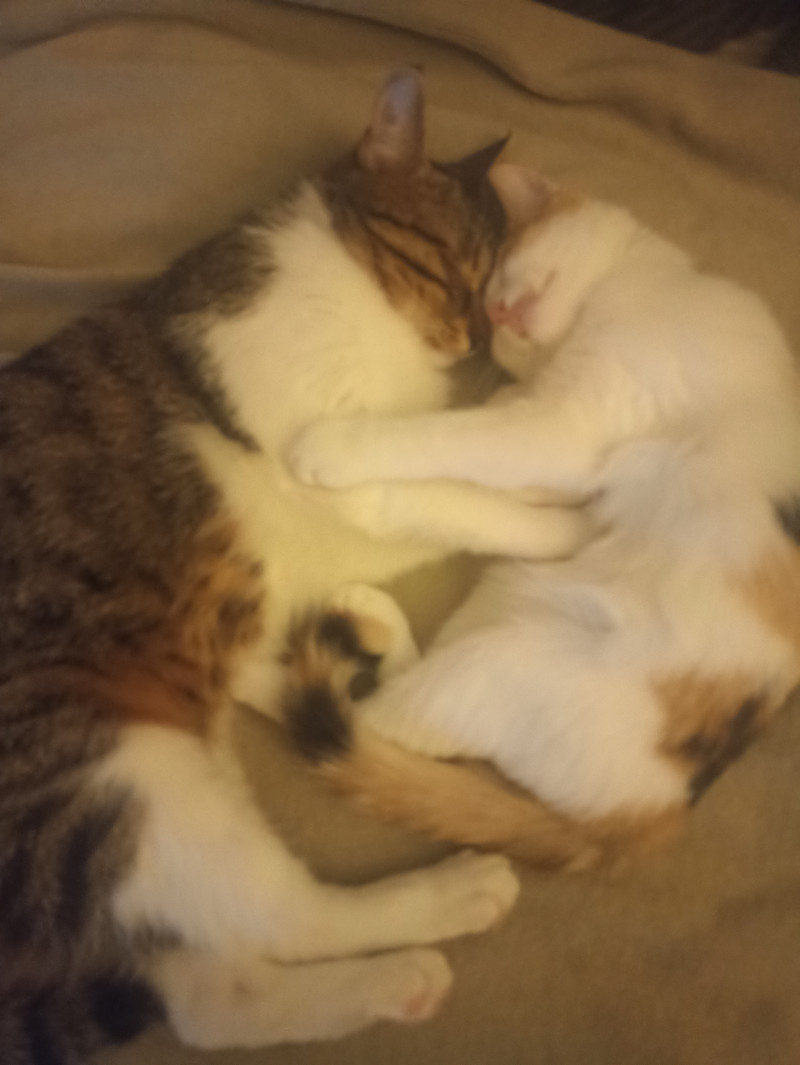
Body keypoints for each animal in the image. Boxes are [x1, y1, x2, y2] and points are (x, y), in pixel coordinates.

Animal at [0, 74, 602, 1062]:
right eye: (457, 270)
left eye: (494, 291)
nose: (474, 339)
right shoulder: (348, 471)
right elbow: (451, 483)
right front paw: (563, 522)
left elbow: (465, 456)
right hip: (118, 778)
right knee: (289, 920)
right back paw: (445, 900)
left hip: (171, 780)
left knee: (217, 994)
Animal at [286, 160, 800, 870]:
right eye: (491, 311)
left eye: (502, 272)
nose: (499, 312)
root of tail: (656, 816)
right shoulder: (559, 439)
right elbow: (495, 455)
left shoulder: (565, 429)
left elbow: (445, 435)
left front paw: (335, 448)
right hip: (500, 607)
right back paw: (375, 611)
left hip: (494, 665)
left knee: (374, 724)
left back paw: (358, 503)